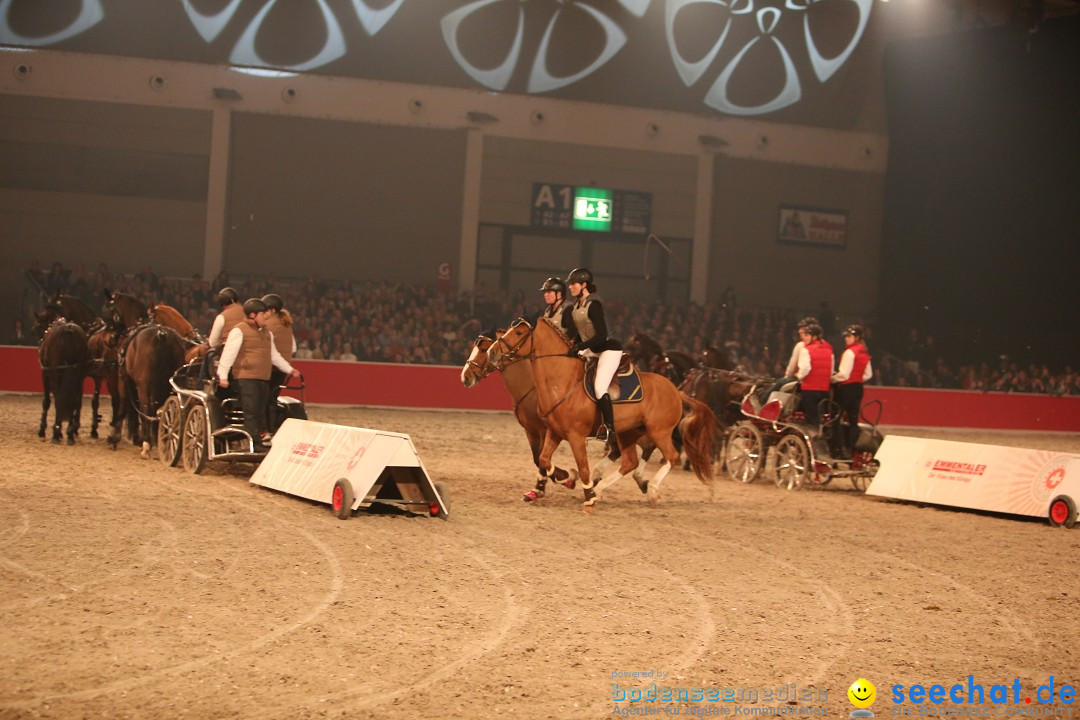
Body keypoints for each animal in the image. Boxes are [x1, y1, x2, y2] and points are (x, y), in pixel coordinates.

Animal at [490, 319, 717, 511]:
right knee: (630, 462)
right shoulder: (554, 432)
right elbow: (544, 460)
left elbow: (582, 467)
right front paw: (567, 478)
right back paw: (602, 488)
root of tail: (677, 390)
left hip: (658, 431)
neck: (562, 382)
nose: (493, 352)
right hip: (628, 433)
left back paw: (649, 490)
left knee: (671, 456)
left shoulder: (575, 436)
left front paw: (587, 494)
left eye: (519, 332)